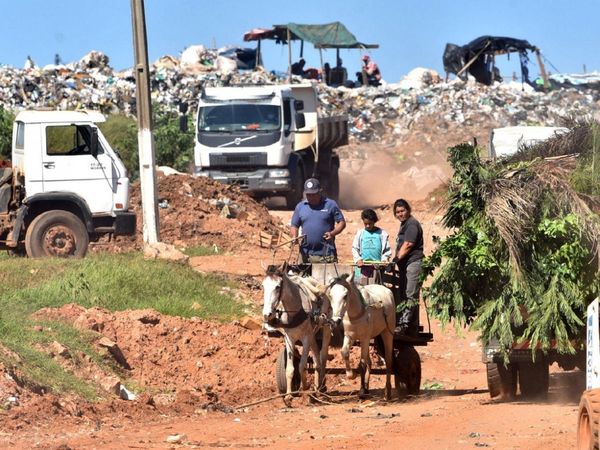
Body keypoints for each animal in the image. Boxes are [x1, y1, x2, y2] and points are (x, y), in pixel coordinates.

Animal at [262, 264, 332, 408]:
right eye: (263, 285)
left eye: (278, 286)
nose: (267, 314)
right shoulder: (289, 338)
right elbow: (290, 368)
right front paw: (288, 396)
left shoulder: (305, 338)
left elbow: (301, 365)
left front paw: (305, 388)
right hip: (313, 335)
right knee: (316, 358)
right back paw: (316, 388)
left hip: (325, 329)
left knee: (322, 357)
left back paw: (321, 388)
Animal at [326, 272, 396, 400]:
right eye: (331, 295)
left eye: (345, 295)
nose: (334, 321)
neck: (356, 313)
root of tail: (386, 289)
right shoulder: (349, 336)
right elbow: (344, 353)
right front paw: (352, 375)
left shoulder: (365, 338)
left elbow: (362, 364)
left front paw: (362, 391)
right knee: (370, 361)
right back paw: (367, 387)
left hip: (387, 333)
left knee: (388, 361)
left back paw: (387, 391)